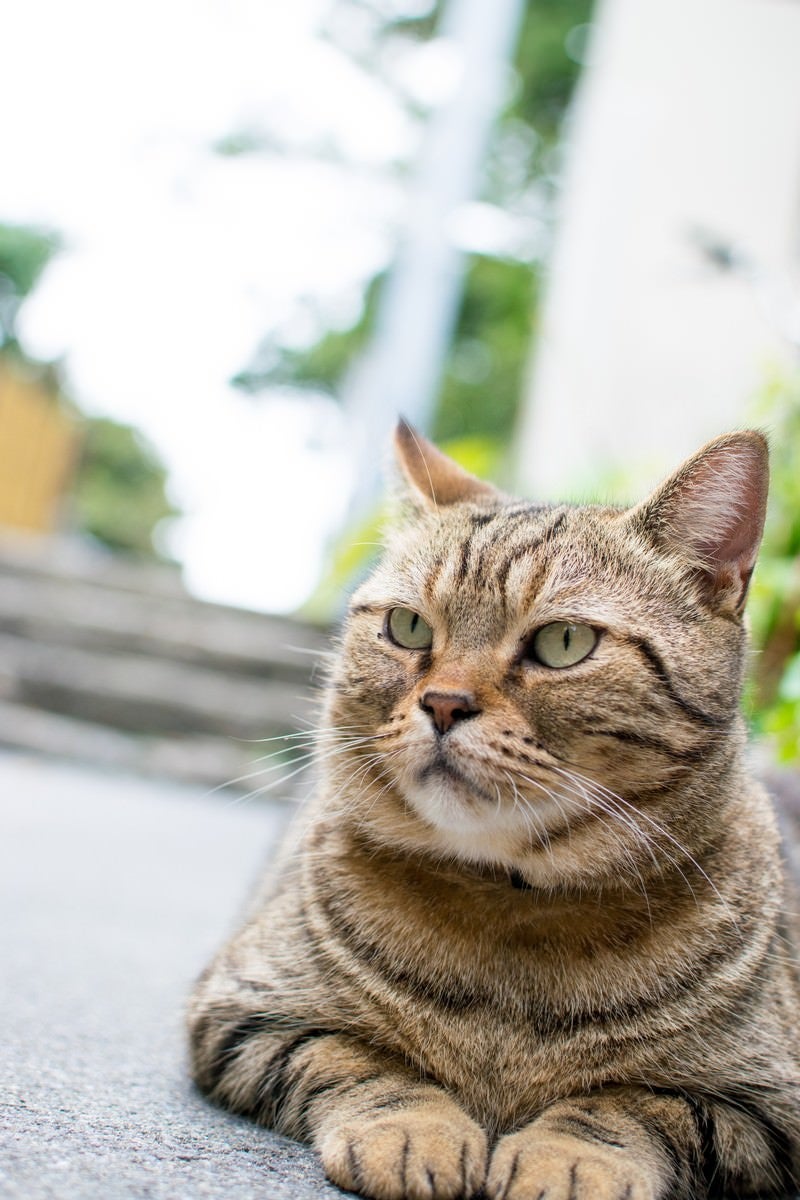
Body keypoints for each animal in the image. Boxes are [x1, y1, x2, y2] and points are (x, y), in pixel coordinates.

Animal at [189, 424, 800, 1200]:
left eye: (564, 642)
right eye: (408, 627)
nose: (444, 703)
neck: (512, 909)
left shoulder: (765, 1104)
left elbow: (627, 1104)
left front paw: (569, 1159)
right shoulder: (246, 1010)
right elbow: (360, 1061)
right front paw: (412, 1128)